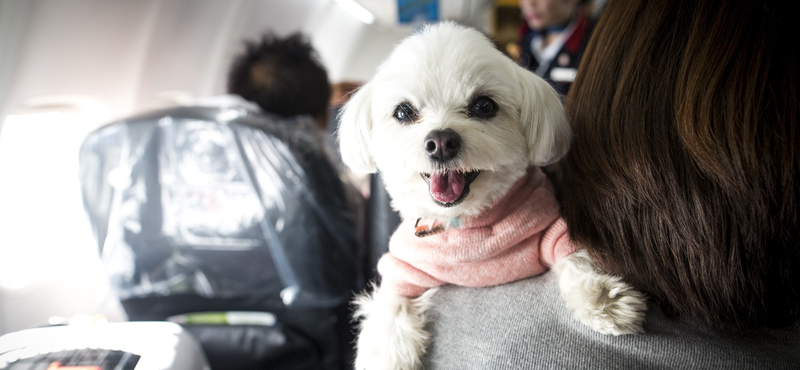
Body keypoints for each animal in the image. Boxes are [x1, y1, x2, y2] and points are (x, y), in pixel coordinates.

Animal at [338, 21, 648, 368]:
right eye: (403, 112)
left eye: (484, 106)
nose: (441, 142)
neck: (465, 223)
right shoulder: (403, 267)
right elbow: (391, 306)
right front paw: (385, 353)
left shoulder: (550, 227)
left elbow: (573, 258)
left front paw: (604, 299)